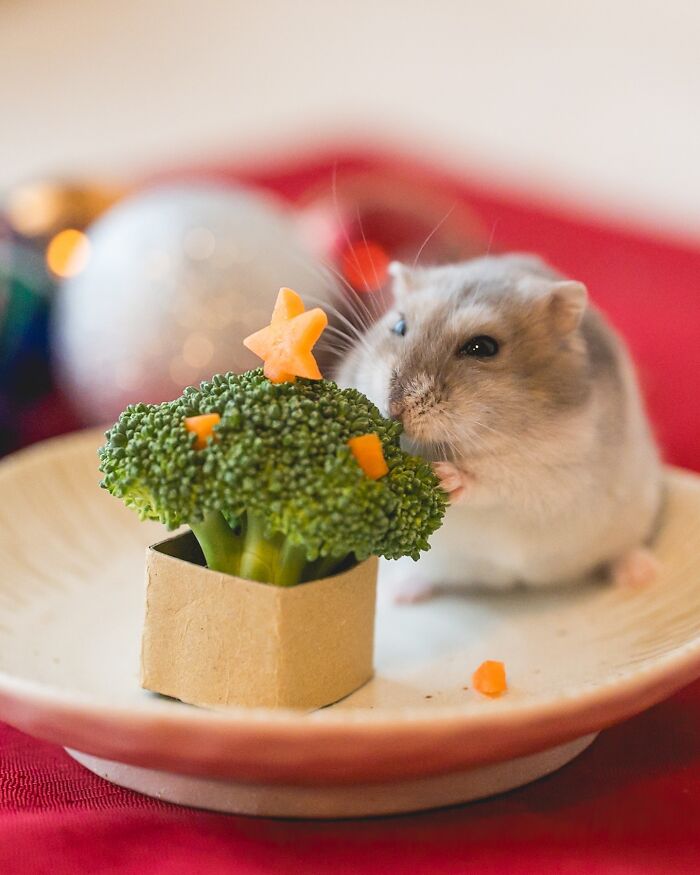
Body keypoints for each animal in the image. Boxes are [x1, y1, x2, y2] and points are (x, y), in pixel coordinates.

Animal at [335, 253, 664, 597]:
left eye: (483, 347)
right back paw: (401, 594)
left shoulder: (552, 477)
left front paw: (444, 477)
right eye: (399, 327)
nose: (393, 408)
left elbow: (492, 483)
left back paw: (643, 576)